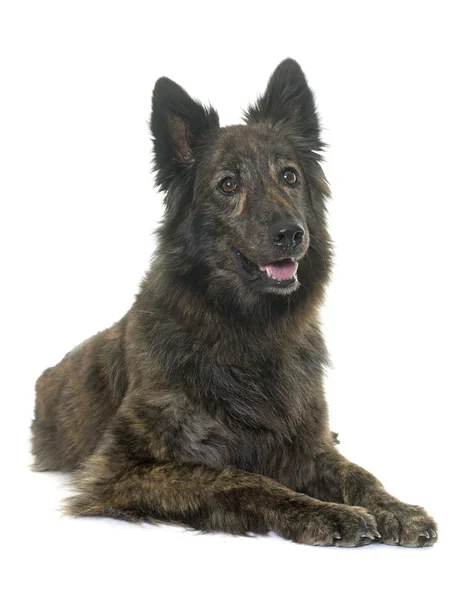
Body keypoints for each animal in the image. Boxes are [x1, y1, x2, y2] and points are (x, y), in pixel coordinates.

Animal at [31, 58, 436, 548]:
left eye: (289, 176)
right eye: (228, 184)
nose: (291, 233)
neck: (247, 329)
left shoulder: (306, 442)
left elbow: (358, 474)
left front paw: (398, 508)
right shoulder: (119, 472)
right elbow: (242, 479)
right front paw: (325, 513)